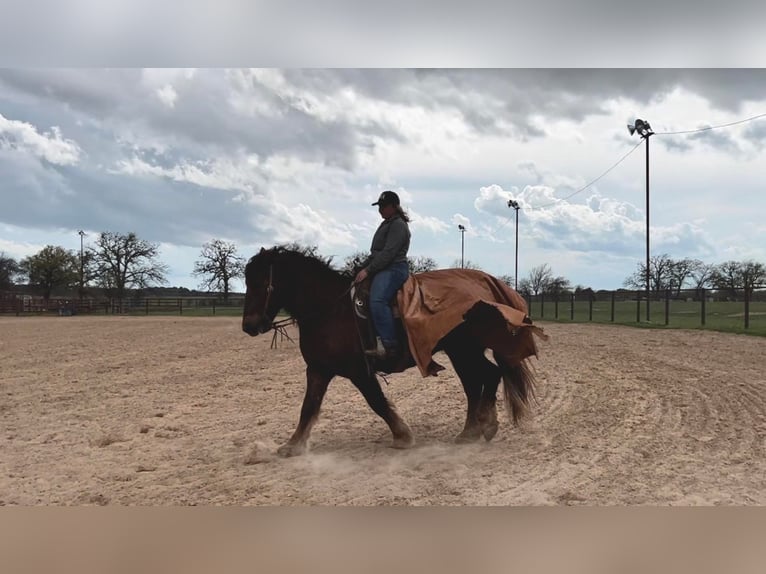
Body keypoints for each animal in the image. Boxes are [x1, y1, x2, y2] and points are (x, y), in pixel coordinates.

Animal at [242, 246, 540, 460]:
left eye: (260, 283)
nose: (249, 326)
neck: (331, 310)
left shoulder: (359, 371)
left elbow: (378, 402)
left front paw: (403, 436)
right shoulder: (318, 369)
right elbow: (308, 407)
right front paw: (293, 445)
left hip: (463, 350)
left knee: (486, 377)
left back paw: (484, 426)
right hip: (463, 352)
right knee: (477, 382)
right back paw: (472, 430)